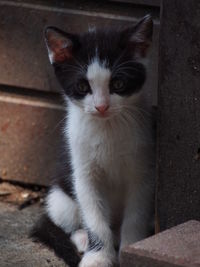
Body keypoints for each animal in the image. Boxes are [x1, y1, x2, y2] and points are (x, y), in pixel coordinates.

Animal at [32, 15, 155, 267]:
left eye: (118, 84)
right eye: (82, 86)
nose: (101, 106)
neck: (107, 128)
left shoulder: (144, 172)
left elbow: (136, 216)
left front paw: (130, 250)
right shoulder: (83, 171)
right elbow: (94, 217)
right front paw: (97, 257)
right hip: (61, 197)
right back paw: (82, 238)